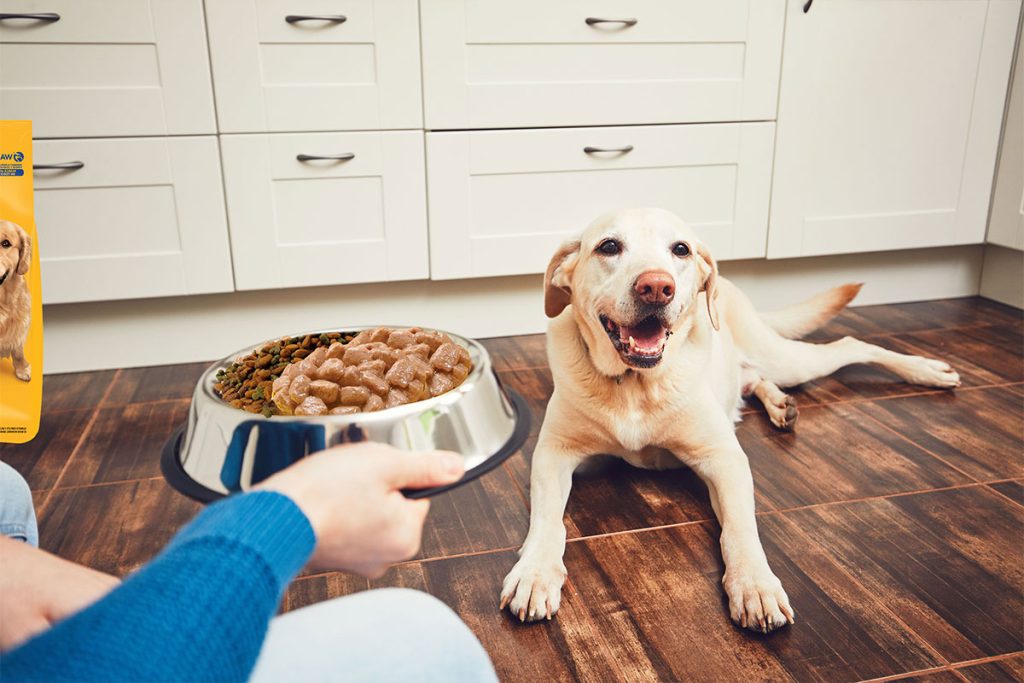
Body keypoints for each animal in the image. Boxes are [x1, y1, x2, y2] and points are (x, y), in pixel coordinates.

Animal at [501, 209, 958, 634]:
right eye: (609, 246)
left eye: (680, 249)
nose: (657, 286)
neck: (635, 384)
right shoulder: (553, 454)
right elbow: (548, 521)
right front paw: (535, 572)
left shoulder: (724, 459)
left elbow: (739, 527)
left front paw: (755, 585)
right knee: (754, 378)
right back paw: (780, 405)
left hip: (787, 358)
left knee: (848, 345)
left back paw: (927, 371)